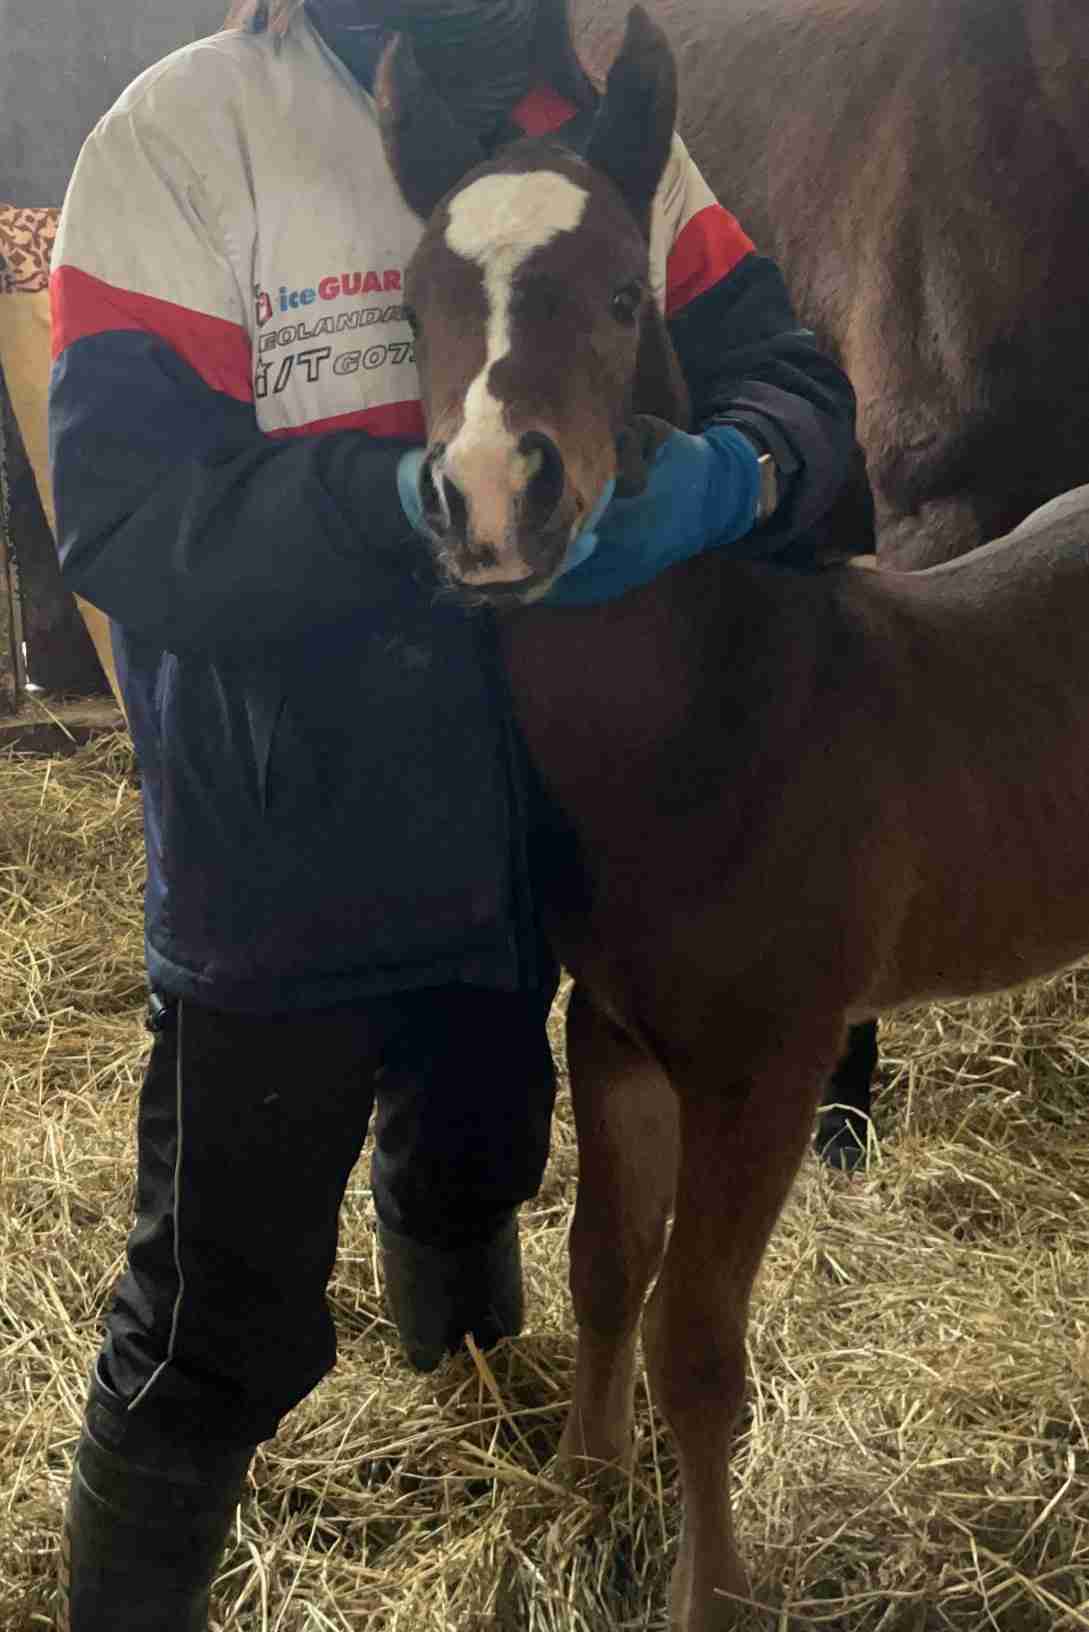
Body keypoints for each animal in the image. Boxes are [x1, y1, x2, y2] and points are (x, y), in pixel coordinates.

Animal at [376, 8, 1089, 1626]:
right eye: (412, 301)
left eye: (626, 294)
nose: (492, 498)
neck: (708, 727)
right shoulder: (616, 1035)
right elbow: (599, 1264)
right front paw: (583, 1501)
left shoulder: (767, 1068)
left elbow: (698, 1342)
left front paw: (708, 1594)